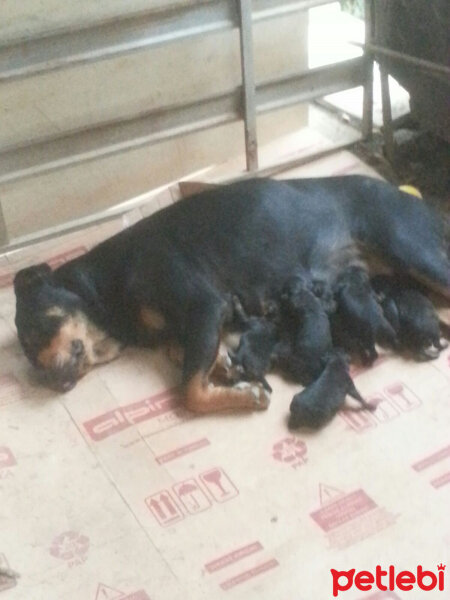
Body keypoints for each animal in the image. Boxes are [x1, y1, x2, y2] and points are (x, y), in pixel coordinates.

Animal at [12, 175, 448, 412]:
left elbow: (189, 390)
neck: (102, 289)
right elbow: (185, 355)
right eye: (30, 360)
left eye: (35, 332)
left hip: (413, 250)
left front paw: (247, 394)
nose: (50, 381)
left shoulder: (204, 305)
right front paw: (225, 365)